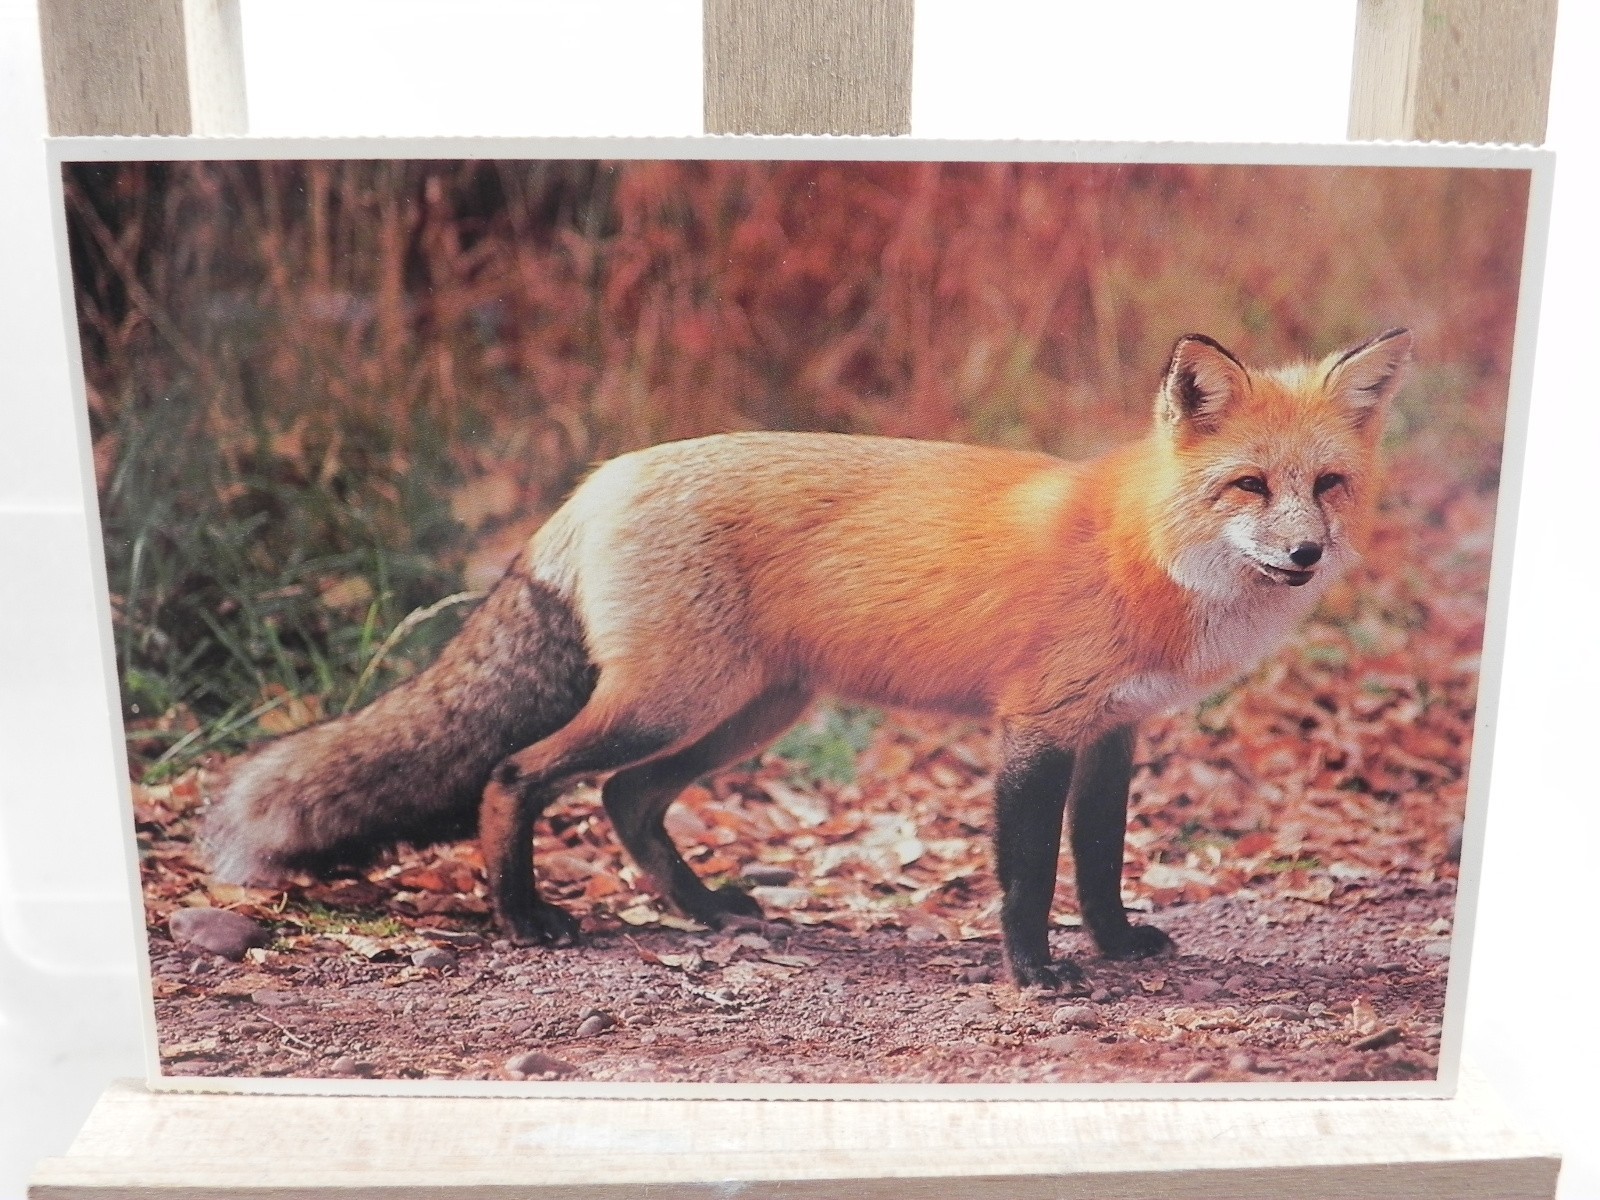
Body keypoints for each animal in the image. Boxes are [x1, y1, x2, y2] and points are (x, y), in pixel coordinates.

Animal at [203, 328, 1412, 989]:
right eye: (1249, 486)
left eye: (1327, 486)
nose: (1305, 553)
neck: (1143, 551)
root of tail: (602, 475)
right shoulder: (1033, 726)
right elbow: (1028, 874)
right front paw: (1034, 977)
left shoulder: (1111, 730)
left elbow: (1102, 863)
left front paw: (1111, 950)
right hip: (677, 701)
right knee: (519, 774)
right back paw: (527, 921)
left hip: (748, 713)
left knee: (629, 799)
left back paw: (708, 915)